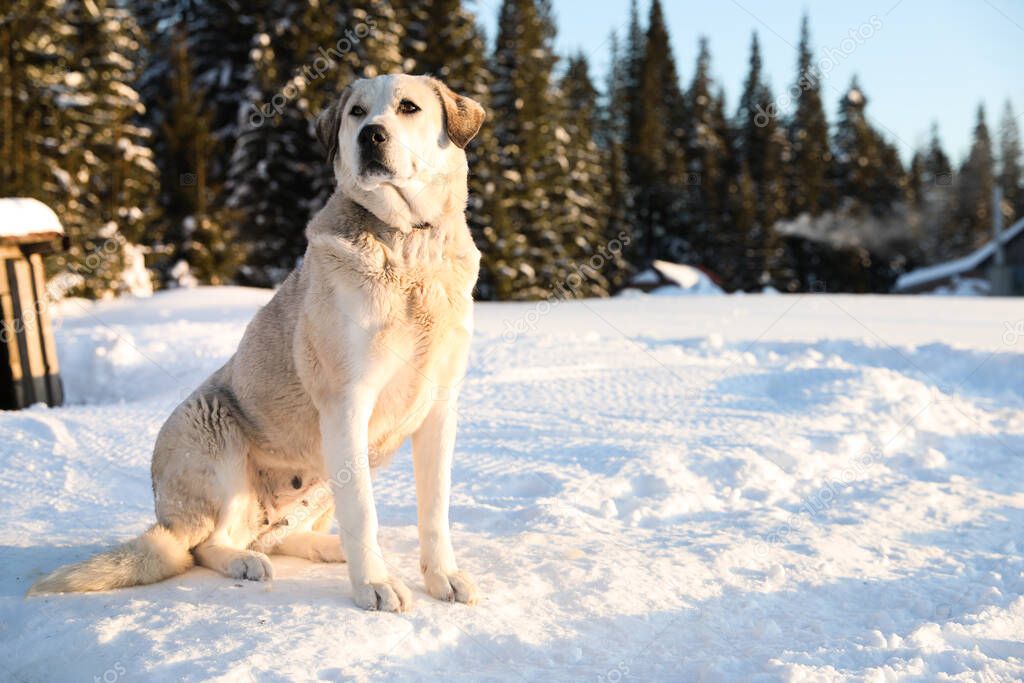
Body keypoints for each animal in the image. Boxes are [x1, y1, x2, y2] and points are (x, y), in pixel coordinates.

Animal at [28, 74, 483, 614]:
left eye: (408, 108)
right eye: (356, 112)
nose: (370, 135)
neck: (409, 244)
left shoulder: (440, 406)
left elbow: (434, 510)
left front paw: (443, 577)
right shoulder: (346, 403)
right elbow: (364, 511)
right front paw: (373, 585)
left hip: (317, 478)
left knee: (280, 535)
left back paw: (326, 547)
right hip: (209, 427)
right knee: (205, 545)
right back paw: (245, 562)